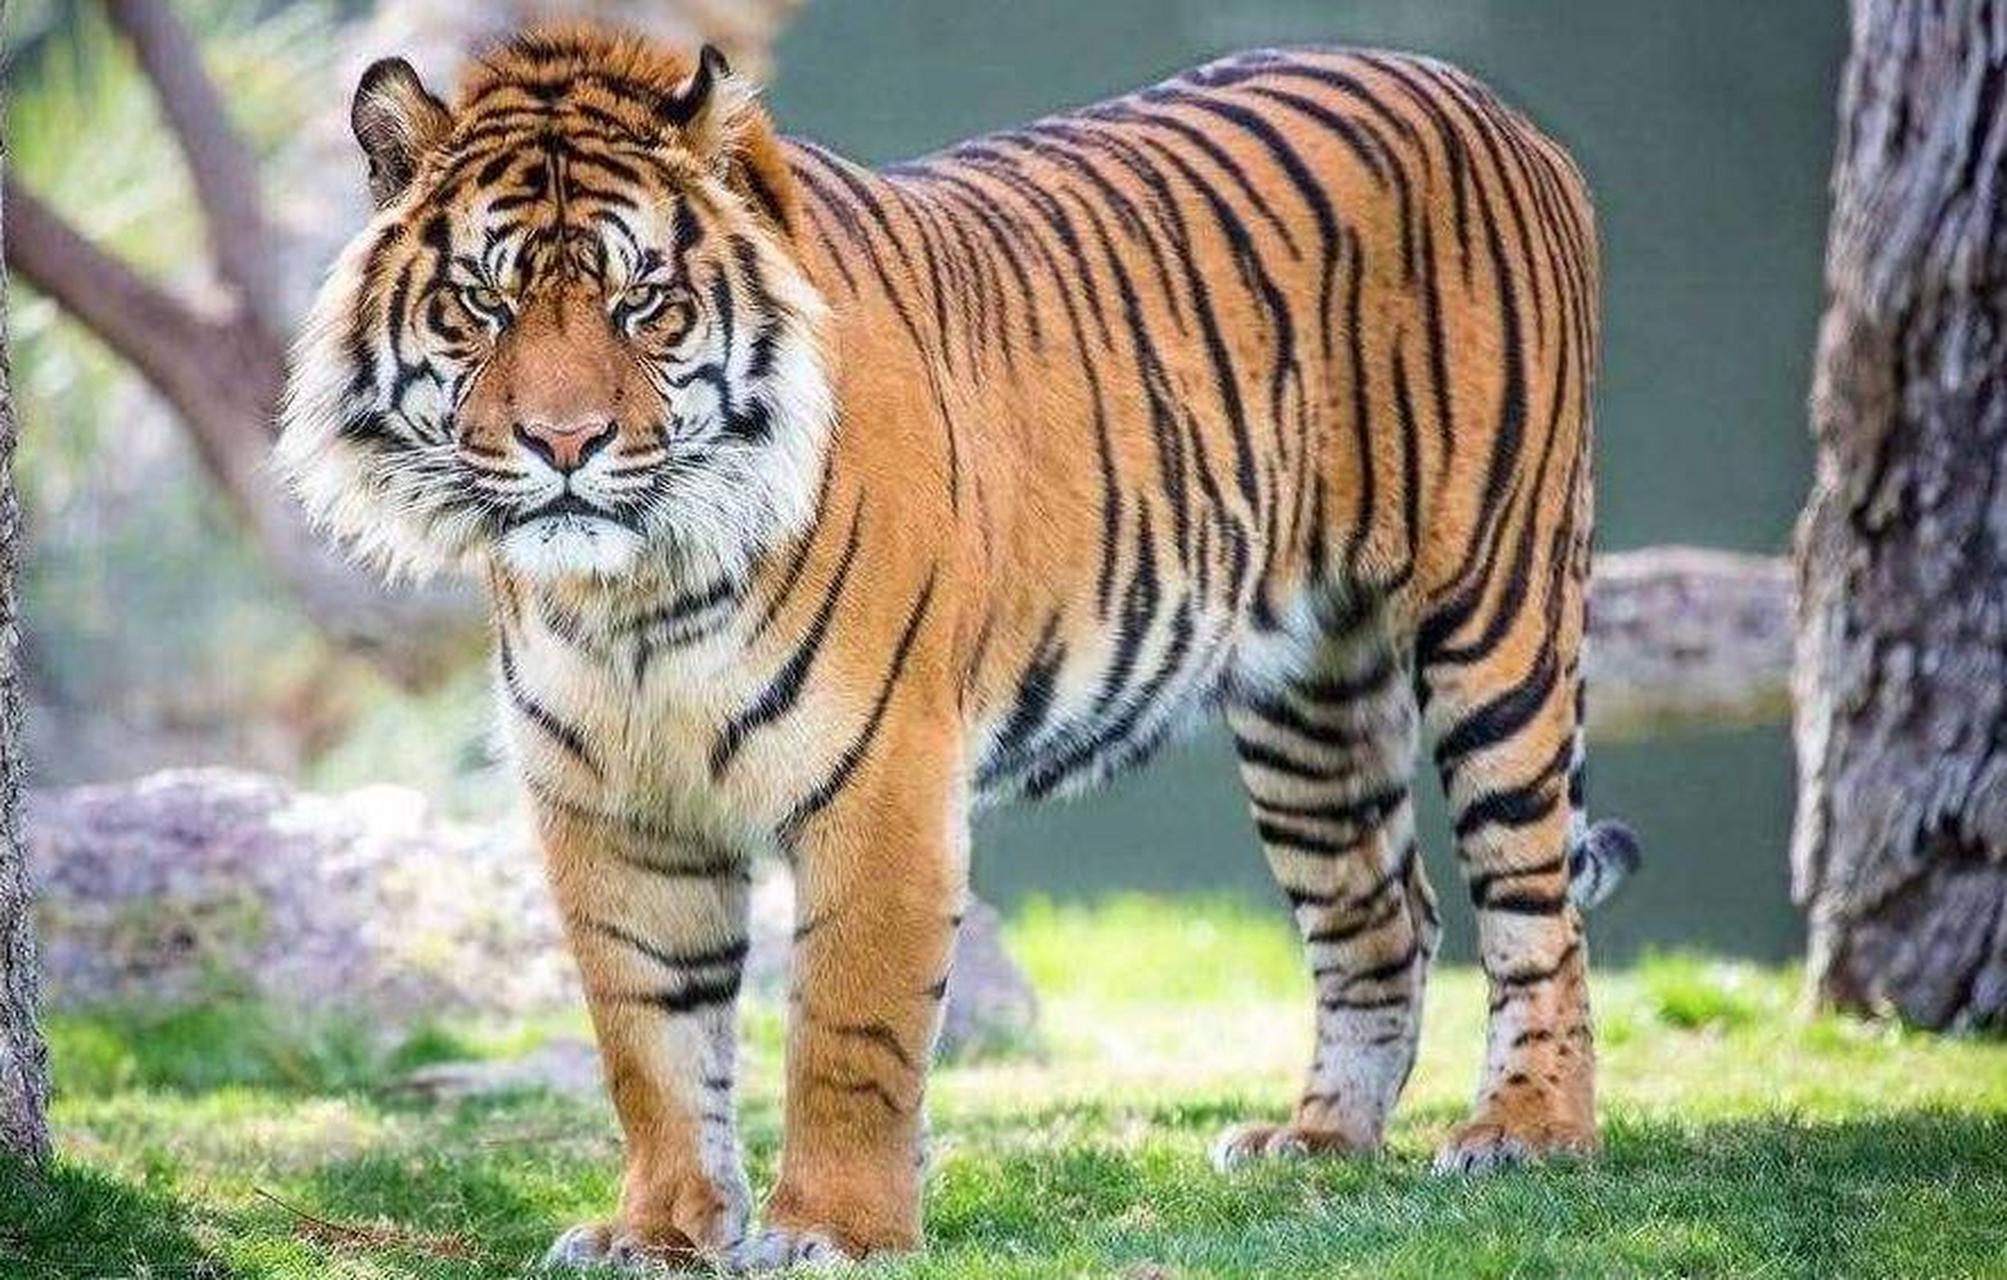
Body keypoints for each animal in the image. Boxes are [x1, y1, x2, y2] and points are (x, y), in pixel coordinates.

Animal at [278, 22, 1640, 1271]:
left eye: (643, 303)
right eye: (484, 303)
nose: (565, 444)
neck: (636, 597)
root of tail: (1473, 94)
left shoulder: (881, 778)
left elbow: (849, 1026)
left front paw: (833, 1230)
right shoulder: (612, 807)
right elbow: (649, 1035)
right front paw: (657, 1230)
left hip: (1497, 613)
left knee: (1530, 903)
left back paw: (1526, 1131)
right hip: (1309, 694)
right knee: (1383, 911)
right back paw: (1316, 1141)